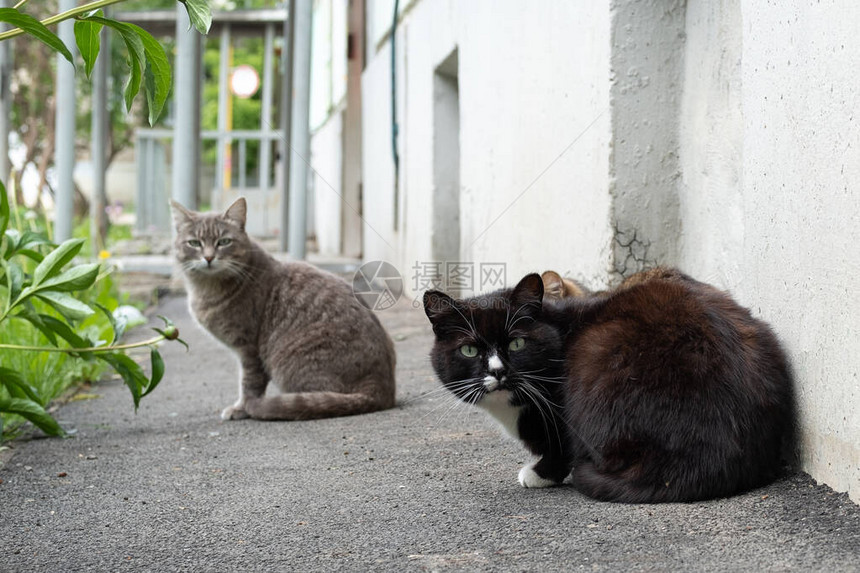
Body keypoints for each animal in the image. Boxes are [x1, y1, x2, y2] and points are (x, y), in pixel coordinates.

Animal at [172, 198, 400, 420]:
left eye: (224, 242)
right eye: (194, 243)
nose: (209, 257)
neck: (206, 289)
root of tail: (383, 387)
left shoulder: (249, 349)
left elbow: (249, 384)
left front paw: (241, 408)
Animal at [424, 268, 792, 500]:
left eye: (517, 343)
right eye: (469, 350)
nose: (499, 372)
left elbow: (561, 446)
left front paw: (540, 473)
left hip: (596, 352)